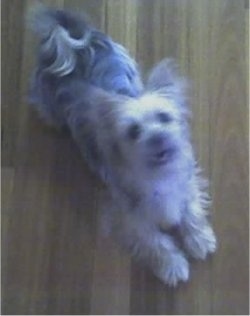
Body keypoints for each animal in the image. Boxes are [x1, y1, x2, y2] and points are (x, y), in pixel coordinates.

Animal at [28, 6, 217, 286]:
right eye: (133, 131)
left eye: (164, 117)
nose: (158, 137)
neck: (156, 174)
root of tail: (72, 43)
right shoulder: (129, 215)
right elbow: (154, 241)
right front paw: (172, 265)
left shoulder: (186, 182)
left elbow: (192, 210)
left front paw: (199, 239)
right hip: (48, 103)